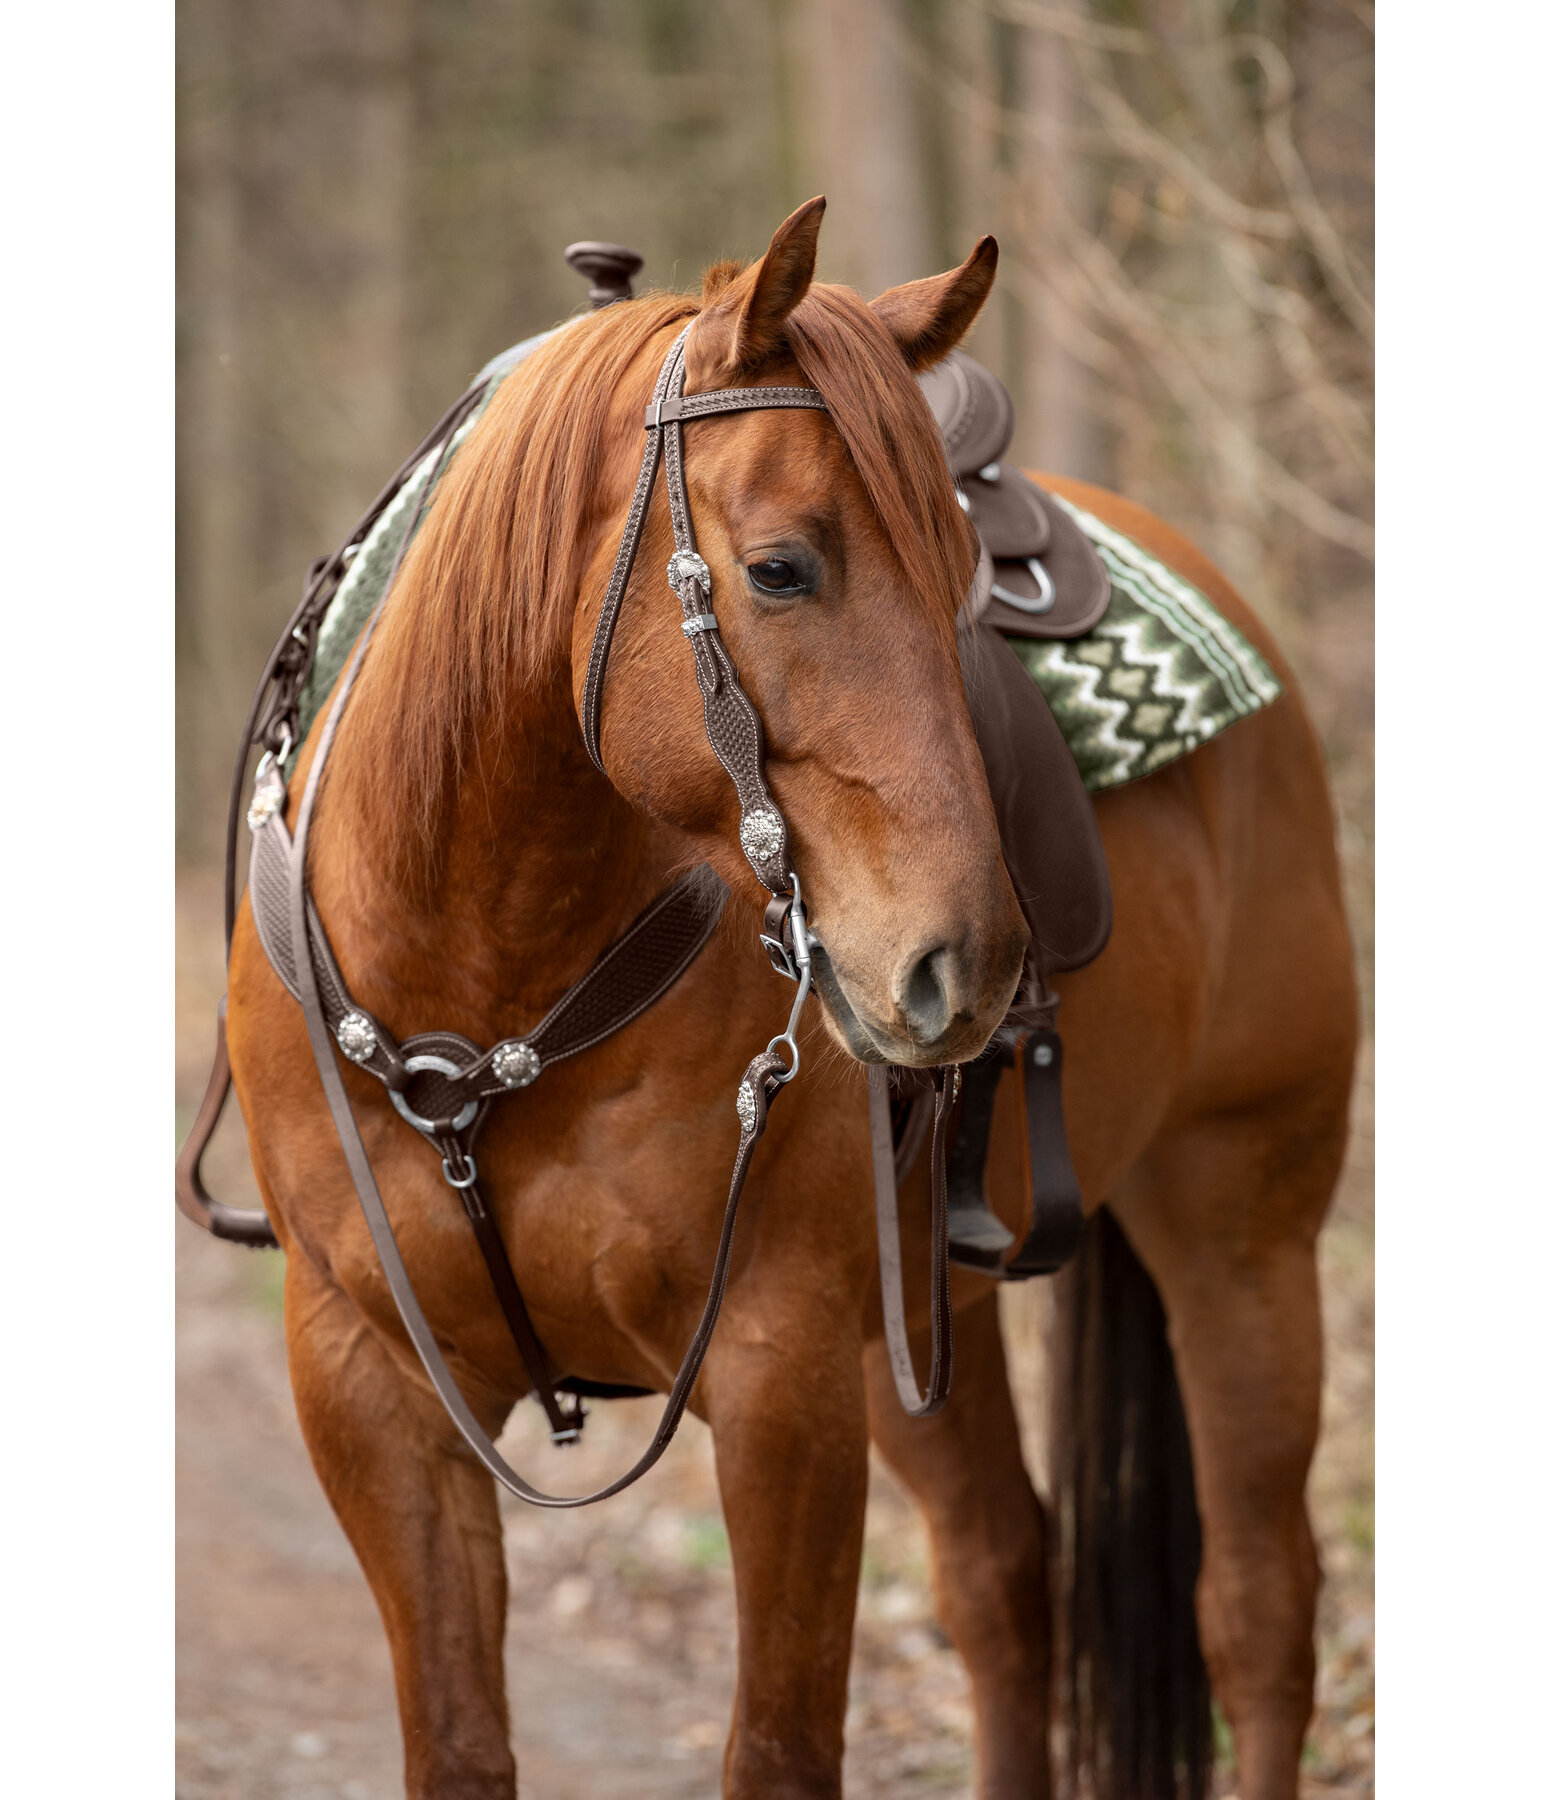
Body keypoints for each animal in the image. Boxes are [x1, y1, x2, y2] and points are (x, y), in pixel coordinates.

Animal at [220, 200, 1353, 1800]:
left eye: (960, 580)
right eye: (777, 571)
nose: (965, 964)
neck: (485, 990)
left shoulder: (778, 1378)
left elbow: (776, 1745)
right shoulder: (372, 1390)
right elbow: (457, 1745)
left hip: (1240, 1222)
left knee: (1255, 1608)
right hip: (924, 1307)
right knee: (1003, 1580)